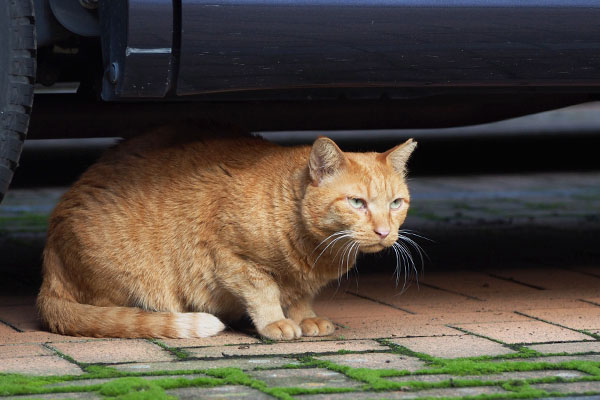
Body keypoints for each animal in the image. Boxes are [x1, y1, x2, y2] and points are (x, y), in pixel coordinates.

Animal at [35, 126, 414, 340]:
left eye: (396, 203)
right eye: (357, 202)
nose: (384, 232)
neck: (318, 253)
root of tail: (48, 273)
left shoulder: (301, 282)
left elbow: (301, 298)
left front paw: (305, 317)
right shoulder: (232, 261)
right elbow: (264, 293)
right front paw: (276, 323)